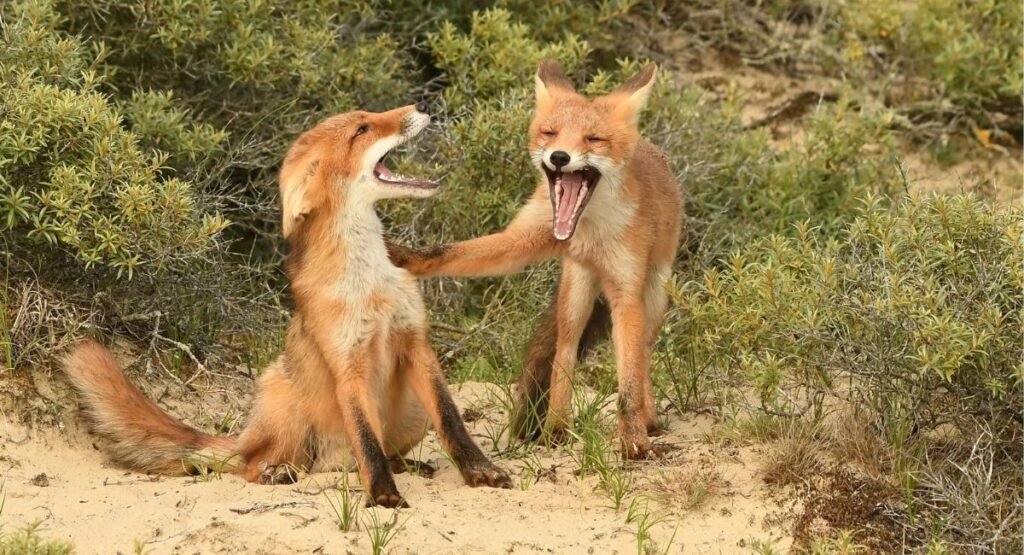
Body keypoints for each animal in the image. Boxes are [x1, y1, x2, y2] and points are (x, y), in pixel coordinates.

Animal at [63, 104, 512, 507]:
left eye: (367, 117)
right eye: (362, 129)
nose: (421, 106)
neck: (369, 283)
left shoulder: (415, 344)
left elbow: (452, 422)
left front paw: (480, 472)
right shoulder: (347, 364)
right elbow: (368, 442)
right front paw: (383, 495)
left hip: (412, 412)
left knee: (377, 455)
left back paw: (408, 467)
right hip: (284, 399)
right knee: (256, 465)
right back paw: (278, 472)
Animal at [389, 60, 683, 460]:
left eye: (592, 139)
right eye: (550, 133)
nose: (559, 157)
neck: (588, 229)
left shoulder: (627, 292)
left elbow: (628, 385)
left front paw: (634, 441)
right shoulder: (523, 237)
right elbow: (454, 253)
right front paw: (404, 255)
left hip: (652, 299)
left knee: (643, 357)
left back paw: (647, 420)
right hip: (575, 298)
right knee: (564, 354)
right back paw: (555, 429)